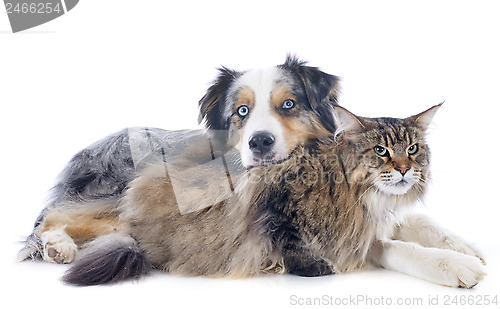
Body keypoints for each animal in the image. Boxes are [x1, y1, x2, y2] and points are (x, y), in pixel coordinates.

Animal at [62, 104, 484, 288]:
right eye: (381, 151)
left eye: (412, 149)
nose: (404, 170)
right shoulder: (352, 236)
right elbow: (404, 249)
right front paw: (458, 267)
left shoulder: (386, 215)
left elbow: (427, 225)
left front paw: (469, 249)